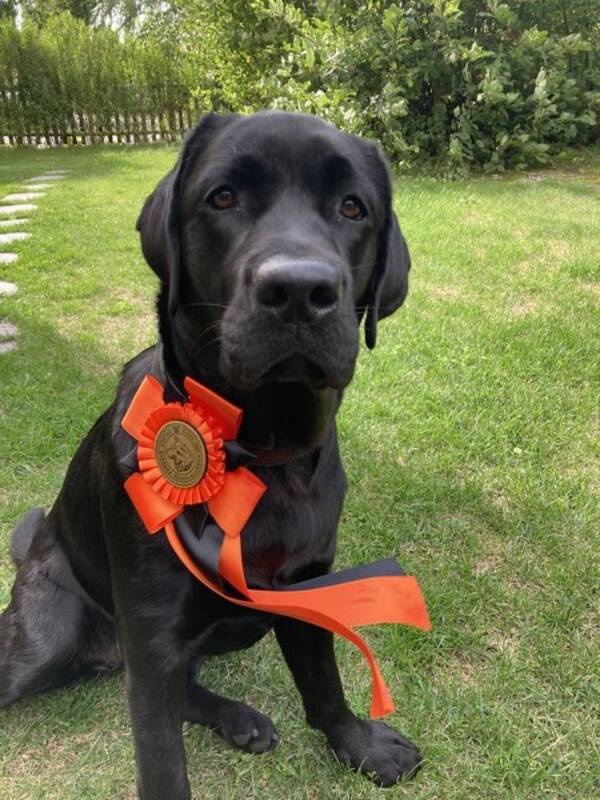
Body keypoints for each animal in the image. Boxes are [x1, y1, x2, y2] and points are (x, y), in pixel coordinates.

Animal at [0, 111, 420, 792]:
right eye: (223, 197)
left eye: (353, 207)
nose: (299, 289)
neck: (260, 457)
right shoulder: (153, 632)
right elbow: (162, 759)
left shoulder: (306, 583)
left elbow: (324, 685)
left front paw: (360, 745)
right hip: (47, 636)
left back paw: (237, 718)